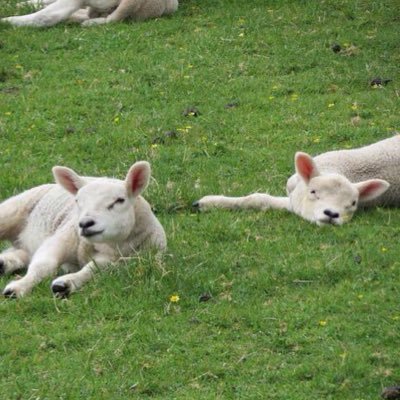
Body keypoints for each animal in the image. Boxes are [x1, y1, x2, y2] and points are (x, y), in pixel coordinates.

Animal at [0, 160, 166, 296]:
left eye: (120, 200)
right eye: (77, 200)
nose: (85, 223)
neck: (111, 245)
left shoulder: (125, 260)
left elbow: (93, 268)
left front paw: (65, 284)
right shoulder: (64, 236)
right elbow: (43, 265)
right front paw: (18, 288)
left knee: (21, 252)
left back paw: (4, 263)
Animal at [194, 136, 400, 227]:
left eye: (353, 203)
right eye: (313, 192)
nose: (332, 214)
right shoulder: (294, 199)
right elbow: (258, 199)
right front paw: (207, 203)